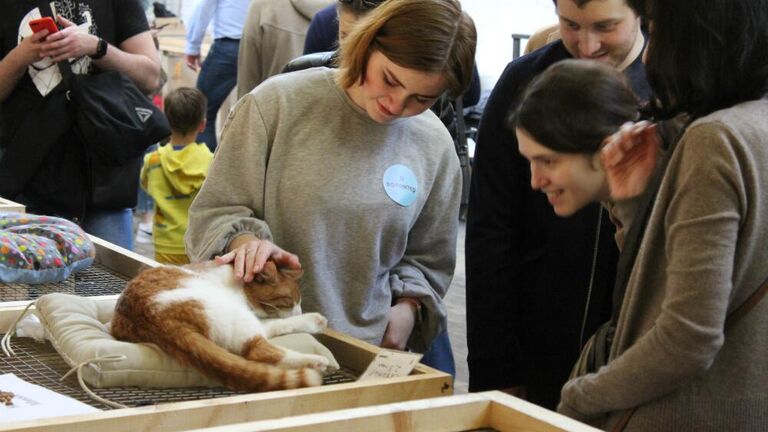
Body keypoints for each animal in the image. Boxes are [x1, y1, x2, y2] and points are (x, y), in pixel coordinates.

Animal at [111, 260, 330, 392]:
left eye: (300, 301)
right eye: (289, 301)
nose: (299, 311)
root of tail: (151, 316)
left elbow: (275, 323)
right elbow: (277, 323)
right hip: (232, 313)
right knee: (259, 350)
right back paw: (315, 361)